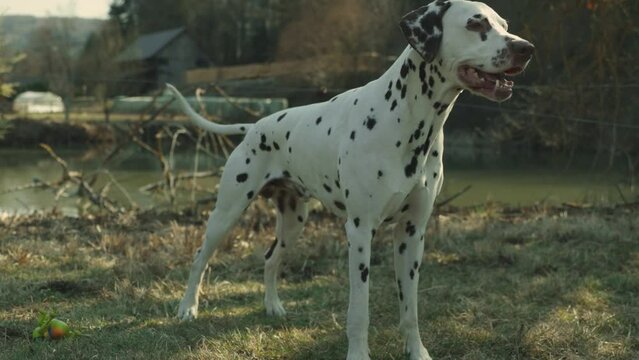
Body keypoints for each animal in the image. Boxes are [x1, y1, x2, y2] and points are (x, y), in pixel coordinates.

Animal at [168, 1, 532, 358]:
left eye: (504, 24)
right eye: (475, 24)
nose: (526, 48)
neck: (407, 119)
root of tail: (255, 126)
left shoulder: (412, 234)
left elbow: (410, 308)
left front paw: (417, 351)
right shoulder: (359, 231)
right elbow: (359, 310)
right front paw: (358, 353)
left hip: (293, 222)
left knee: (271, 259)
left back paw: (273, 307)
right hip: (226, 214)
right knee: (199, 259)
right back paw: (188, 309)